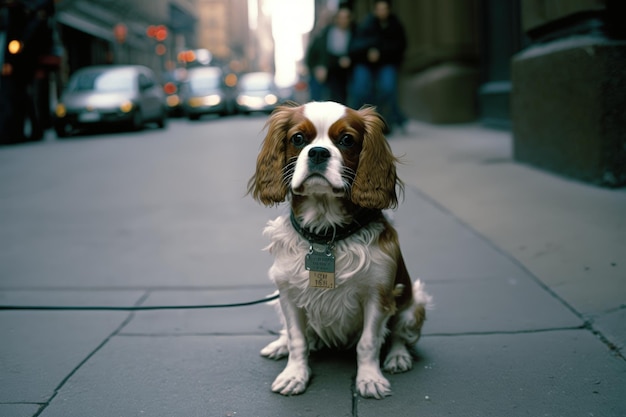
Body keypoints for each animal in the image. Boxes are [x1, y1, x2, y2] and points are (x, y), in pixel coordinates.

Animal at [247, 101, 428, 400]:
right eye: (298, 138)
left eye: (346, 140)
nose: (318, 152)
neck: (325, 233)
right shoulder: (288, 293)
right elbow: (297, 339)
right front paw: (294, 374)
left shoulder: (378, 295)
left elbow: (368, 342)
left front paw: (369, 379)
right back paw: (280, 345)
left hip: (414, 303)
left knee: (399, 335)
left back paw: (398, 357)